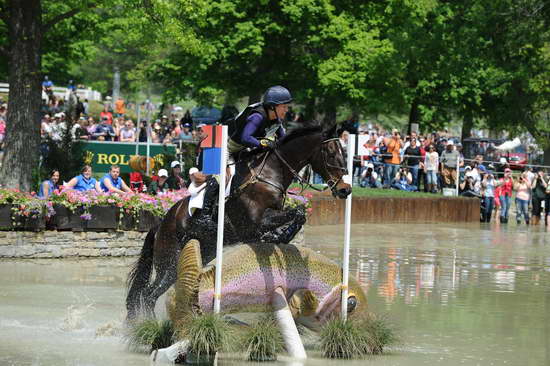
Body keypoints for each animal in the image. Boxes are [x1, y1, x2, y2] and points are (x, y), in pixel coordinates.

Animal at [126, 123, 354, 320]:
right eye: (331, 154)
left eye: (344, 153)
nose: (345, 190)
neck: (270, 173)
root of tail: (160, 225)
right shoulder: (256, 222)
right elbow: (297, 212)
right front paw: (277, 235)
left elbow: (300, 215)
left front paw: (278, 236)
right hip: (169, 260)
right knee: (148, 294)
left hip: (199, 253)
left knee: (150, 294)